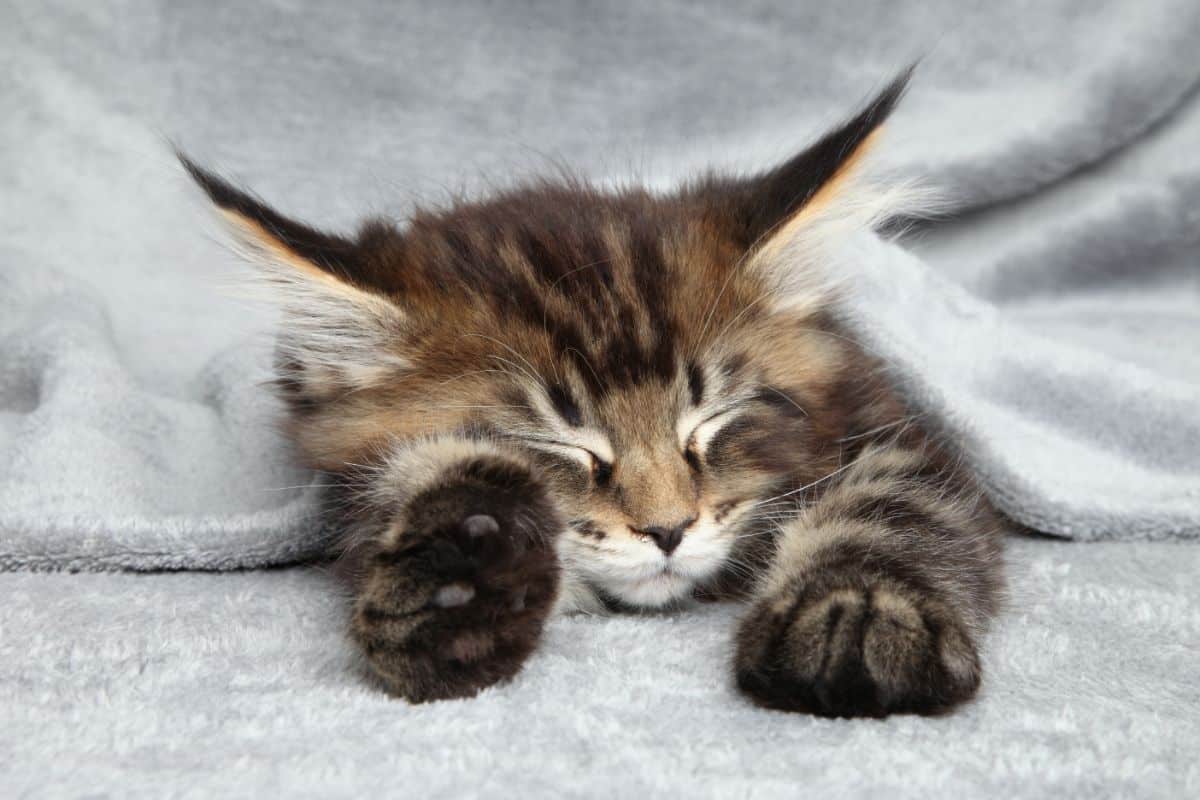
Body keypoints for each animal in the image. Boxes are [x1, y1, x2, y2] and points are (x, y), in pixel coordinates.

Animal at [187, 70, 1008, 719]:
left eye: (709, 421)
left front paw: (854, 615)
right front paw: (458, 584)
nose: (669, 529)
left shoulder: (888, 424)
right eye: (561, 445)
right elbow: (400, 480)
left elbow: (893, 506)